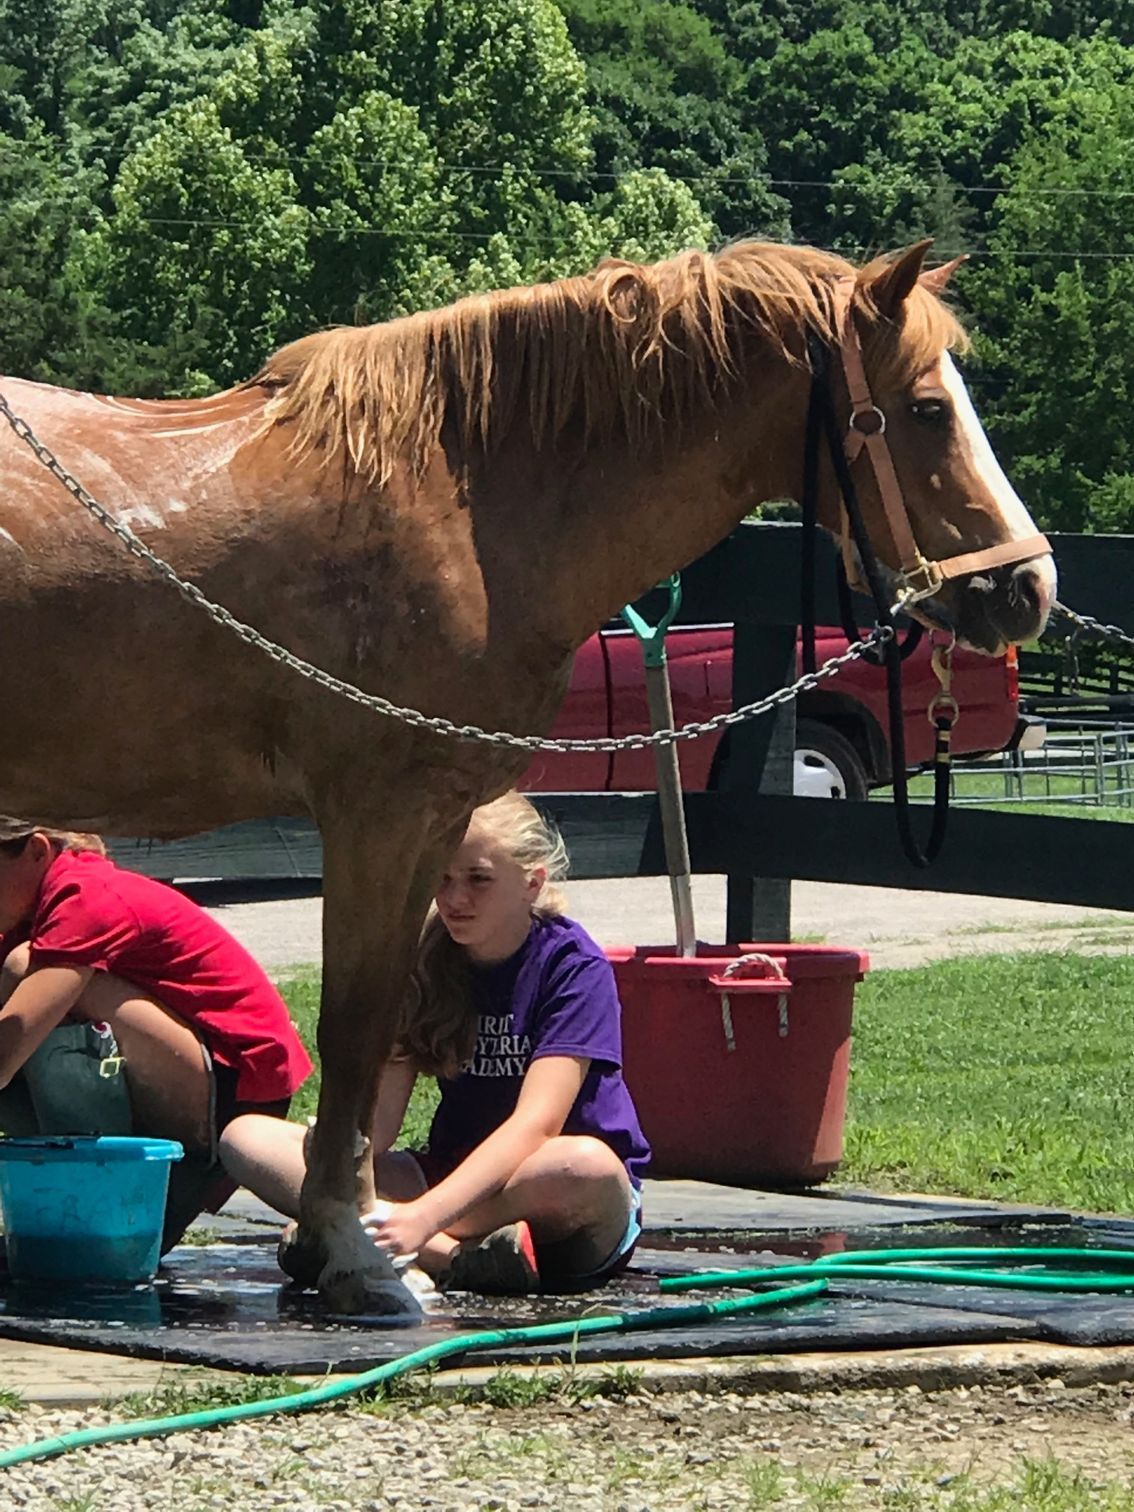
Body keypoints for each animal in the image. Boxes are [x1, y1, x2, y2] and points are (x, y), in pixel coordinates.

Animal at [0, 238, 1055, 1313]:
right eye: (925, 409)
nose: (1026, 588)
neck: (460, 502)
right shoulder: (381, 813)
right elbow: (354, 1025)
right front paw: (358, 1250)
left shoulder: (428, 821)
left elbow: (377, 1028)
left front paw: (342, 1245)